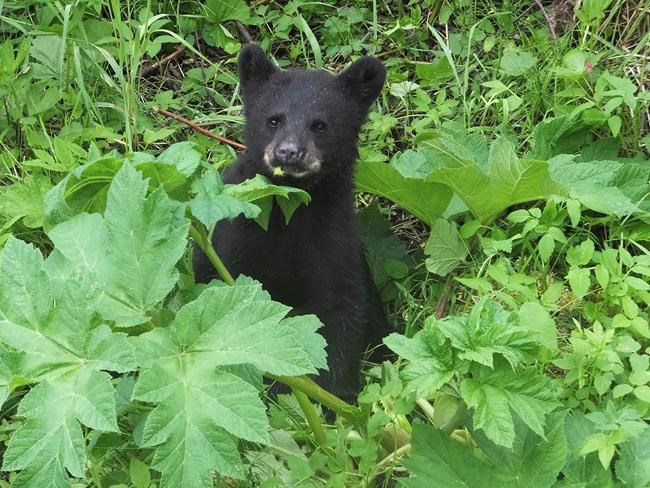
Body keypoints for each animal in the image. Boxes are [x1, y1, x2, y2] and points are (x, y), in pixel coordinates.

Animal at [193, 44, 388, 400]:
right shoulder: (234, 238)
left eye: (320, 124)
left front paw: (334, 399)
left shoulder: (335, 240)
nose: (288, 152)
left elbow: (342, 312)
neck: (291, 210)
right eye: (274, 120)